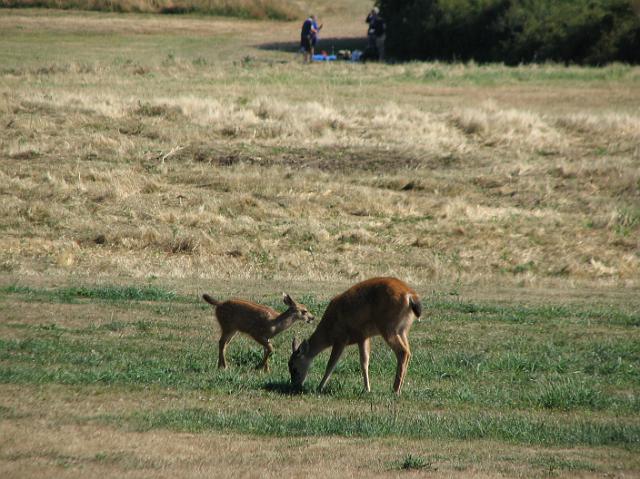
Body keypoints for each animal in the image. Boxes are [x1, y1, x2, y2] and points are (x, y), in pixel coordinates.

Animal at [288, 276, 420, 396]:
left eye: (294, 367)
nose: (295, 385)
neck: (328, 332)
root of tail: (410, 295)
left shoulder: (341, 337)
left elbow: (331, 364)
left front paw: (319, 387)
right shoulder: (363, 336)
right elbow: (364, 362)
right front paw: (367, 389)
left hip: (388, 327)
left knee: (403, 352)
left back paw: (395, 390)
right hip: (403, 330)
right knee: (408, 352)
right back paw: (400, 388)